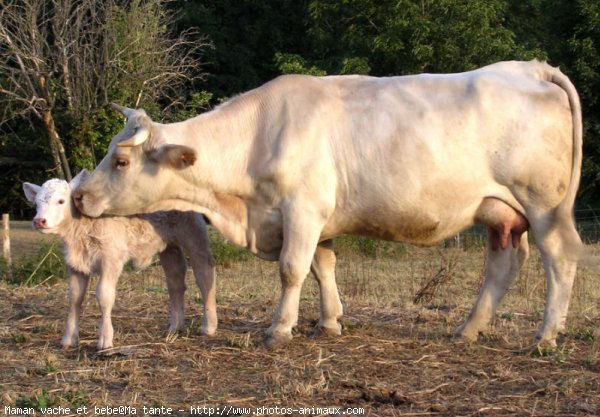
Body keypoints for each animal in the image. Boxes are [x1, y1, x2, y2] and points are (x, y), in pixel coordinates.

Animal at [22, 168, 217, 348]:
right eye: (36, 203)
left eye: (61, 201)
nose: (39, 221)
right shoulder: (76, 265)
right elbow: (75, 298)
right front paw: (68, 339)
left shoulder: (110, 259)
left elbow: (104, 296)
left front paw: (105, 340)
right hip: (169, 246)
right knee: (175, 281)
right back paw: (175, 327)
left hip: (193, 233)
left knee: (204, 273)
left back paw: (209, 326)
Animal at [72, 61, 584, 348]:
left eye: (120, 160)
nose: (79, 196)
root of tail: (527, 67)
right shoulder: (317, 218)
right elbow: (323, 267)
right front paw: (330, 322)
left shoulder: (303, 209)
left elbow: (291, 269)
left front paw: (279, 330)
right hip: (500, 213)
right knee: (504, 263)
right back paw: (468, 329)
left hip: (545, 204)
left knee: (560, 257)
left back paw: (545, 336)